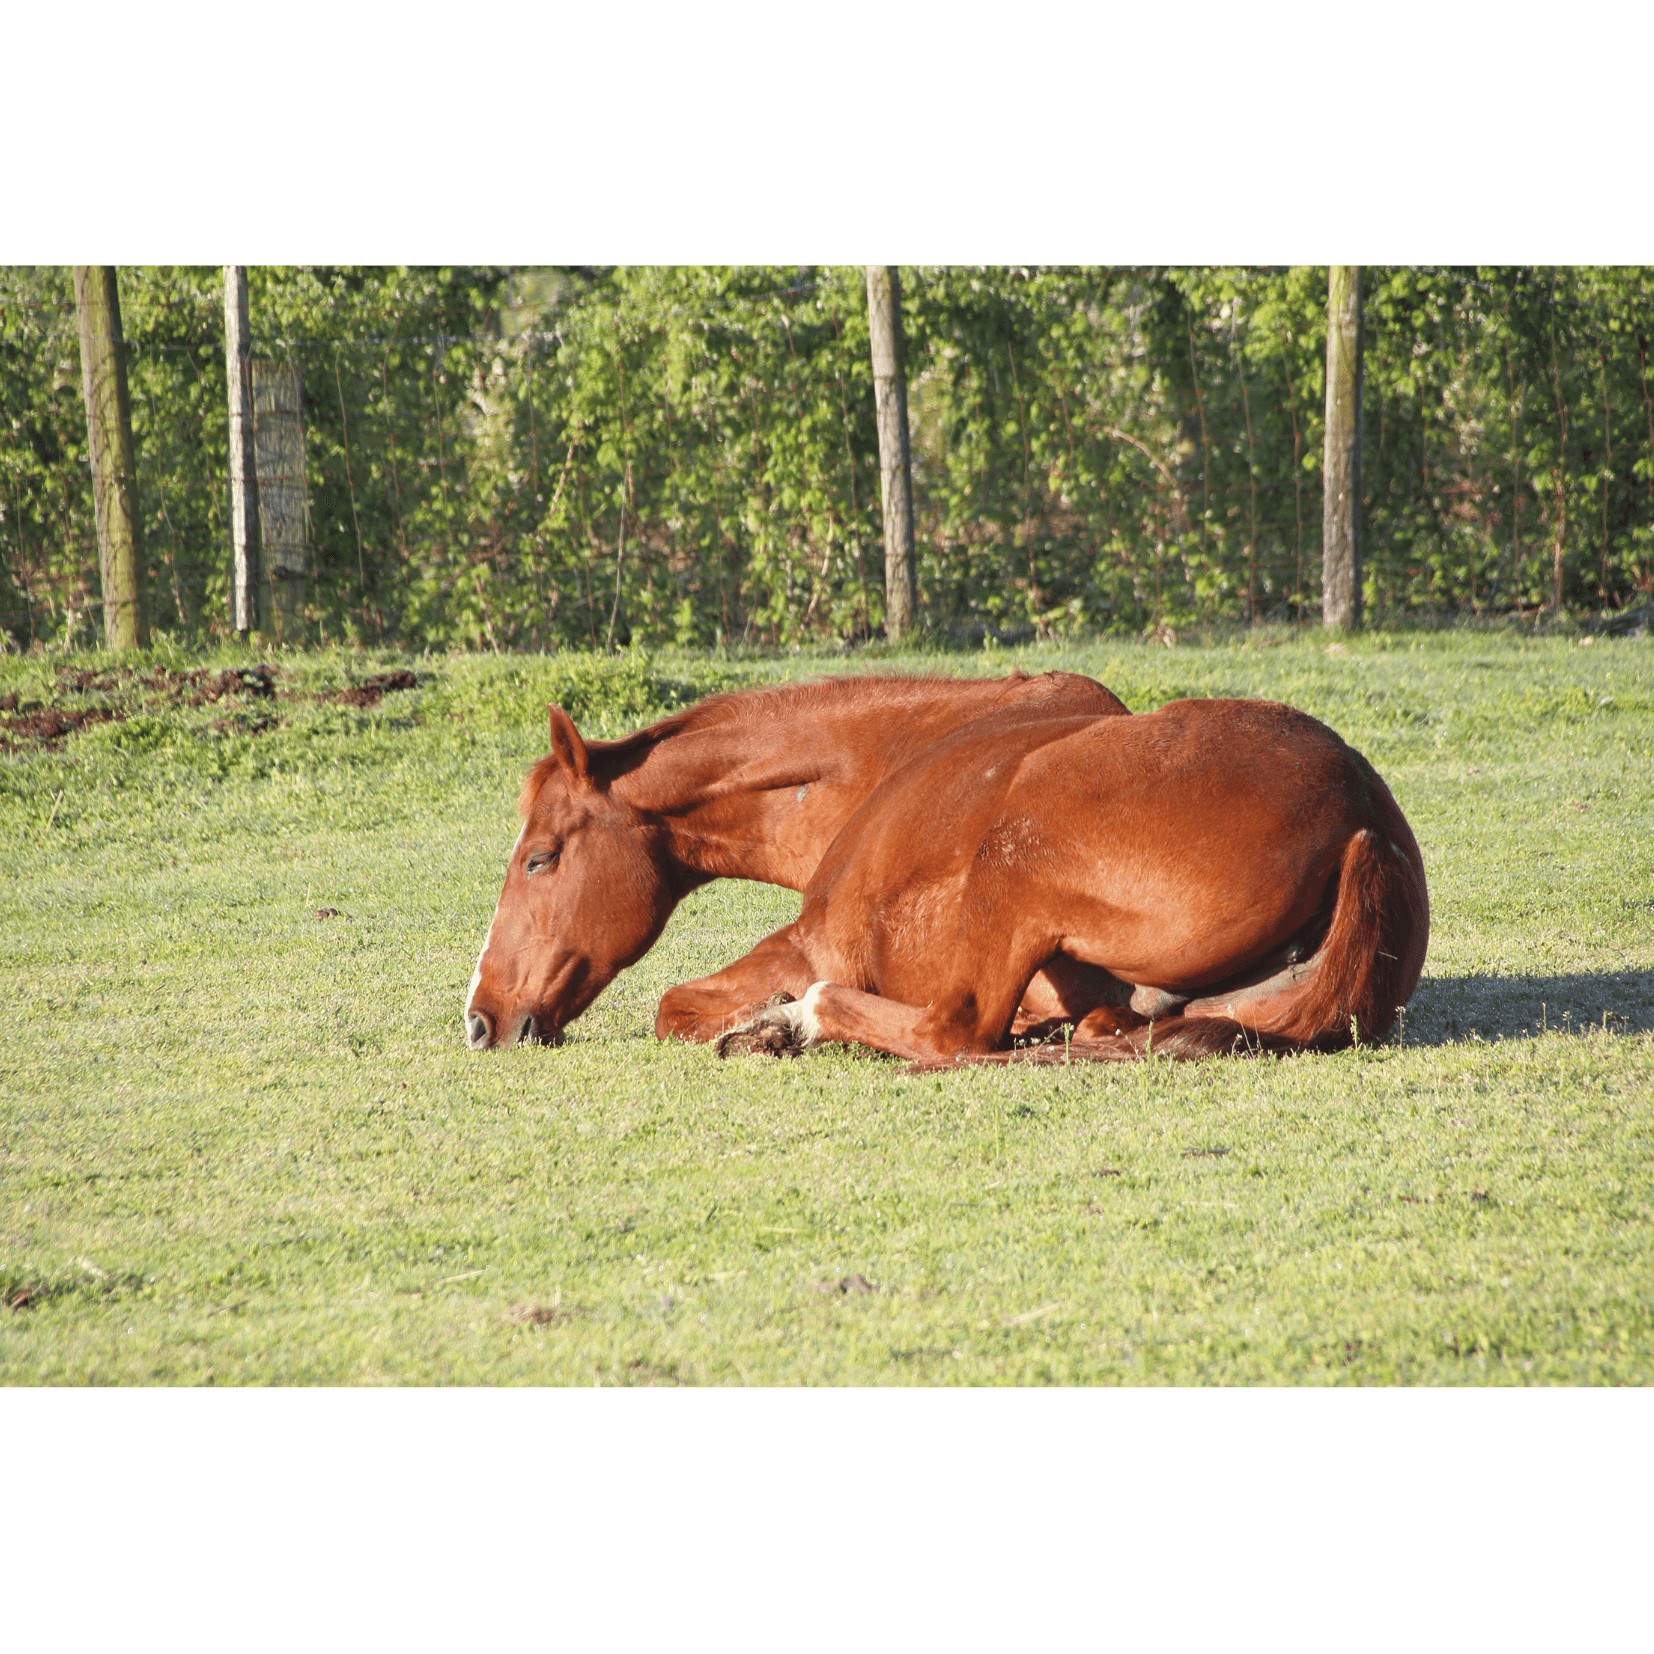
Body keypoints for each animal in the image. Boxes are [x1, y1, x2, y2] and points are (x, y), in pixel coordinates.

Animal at [459, 668, 1429, 1065]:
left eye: (540, 859)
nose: (479, 1018)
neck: (879, 759)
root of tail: (1360, 822)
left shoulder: (814, 940)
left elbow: (675, 1007)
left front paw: (766, 1020)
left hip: (1015, 860)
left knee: (954, 1035)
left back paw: (799, 1021)